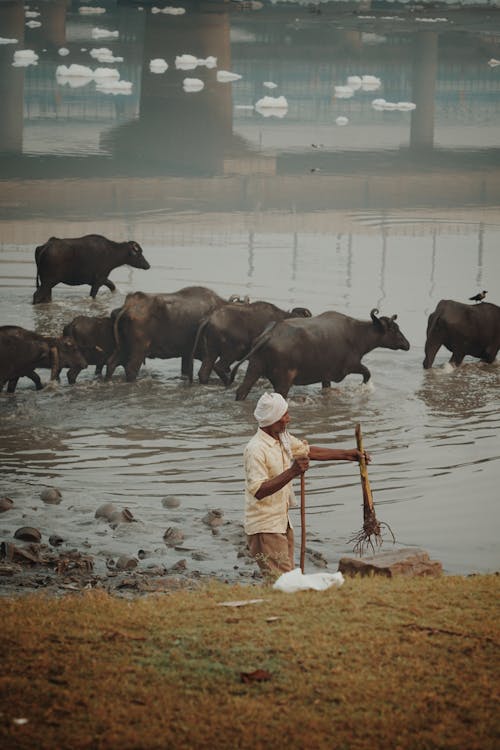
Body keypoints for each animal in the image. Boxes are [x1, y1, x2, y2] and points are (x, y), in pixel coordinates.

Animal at [230, 306, 410, 400]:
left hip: (255, 367)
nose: (407, 344)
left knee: (242, 390)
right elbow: (367, 373)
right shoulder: (351, 365)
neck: (357, 335)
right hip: (284, 380)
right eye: (394, 329)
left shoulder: (326, 376)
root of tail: (269, 335)